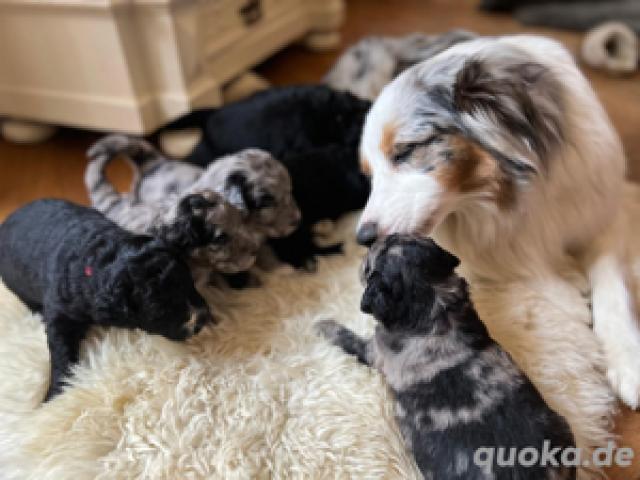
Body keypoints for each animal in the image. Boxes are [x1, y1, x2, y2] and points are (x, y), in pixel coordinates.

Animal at [0, 199, 215, 402]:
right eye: (159, 311)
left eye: (188, 281)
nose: (201, 319)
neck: (97, 260)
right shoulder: (59, 310)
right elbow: (60, 348)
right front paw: (55, 394)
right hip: (15, 284)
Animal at [316, 236, 576, 480]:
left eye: (369, 267)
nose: (364, 248)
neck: (432, 302)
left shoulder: (374, 351)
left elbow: (346, 337)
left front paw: (322, 325)